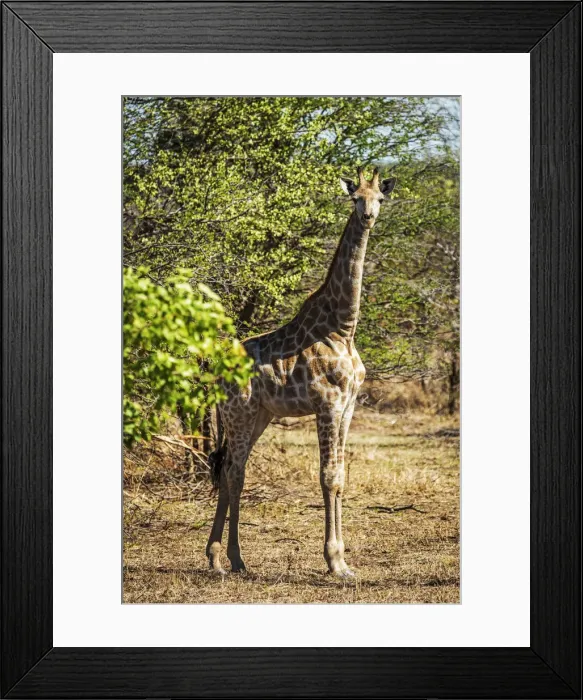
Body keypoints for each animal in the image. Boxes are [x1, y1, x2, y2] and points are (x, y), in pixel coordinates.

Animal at [206, 167, 396, 577]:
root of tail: (215, 372)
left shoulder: (347, 407)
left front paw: (342, 560)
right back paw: (226, 558)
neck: (343, 328)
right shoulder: (327, 404)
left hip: (259, 416)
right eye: (354, 197)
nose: (368, 217)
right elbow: (328, 477)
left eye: (380, 198)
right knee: (235, 472)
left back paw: (226, 558)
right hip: (240, 413)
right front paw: (334, 562)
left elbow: (341, 476)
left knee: (228, 470)